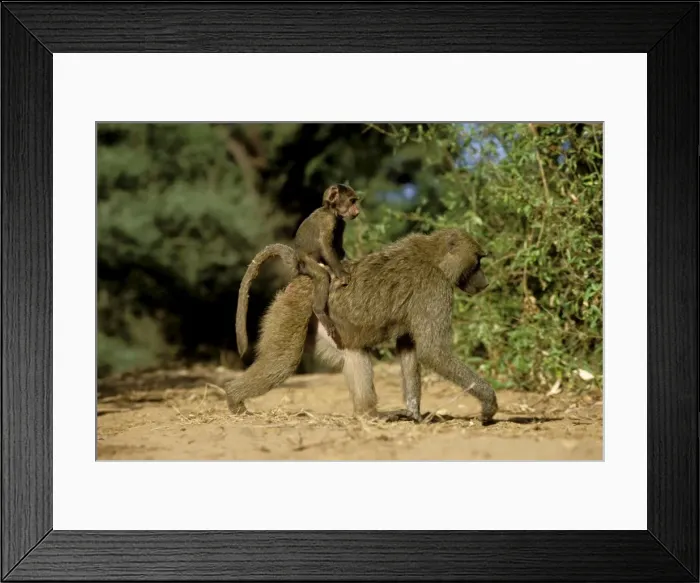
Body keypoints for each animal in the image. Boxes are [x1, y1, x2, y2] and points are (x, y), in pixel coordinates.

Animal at [225, 227, 498, 425]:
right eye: (477, 261)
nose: (485, 282)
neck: (434, 256)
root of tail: (304, 278)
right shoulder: (434, 289)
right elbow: (434, 352)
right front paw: (489, 404)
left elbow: (408, 348)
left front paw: (414, 414)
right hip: (293, 309)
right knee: (281, 364)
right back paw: (234, 400)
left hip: (328, 327)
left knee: (355, 353)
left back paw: (369, 414)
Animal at [235, 184, 359, 356]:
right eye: (352, 201)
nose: (357, 210)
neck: (330, 211)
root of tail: (296, 261)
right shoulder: (328, 221)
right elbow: (326, 247)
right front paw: (342, 273)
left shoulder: (340, 223)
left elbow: (338, 250)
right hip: (306, 264)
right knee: (322, 276)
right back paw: (319, 310)